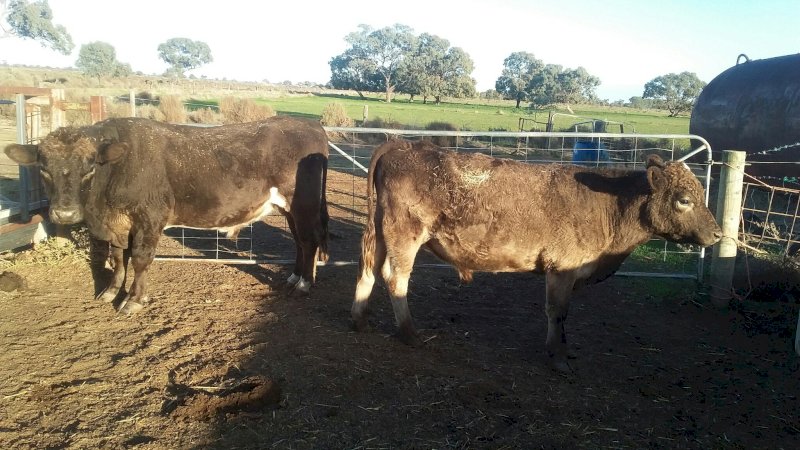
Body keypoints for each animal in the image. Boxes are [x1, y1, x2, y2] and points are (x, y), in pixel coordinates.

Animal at [5, 116, 329, 314]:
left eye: (90, 166)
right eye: (44, 168)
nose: (65, 213)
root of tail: (310, 125)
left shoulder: (150, 217)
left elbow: (140, 259)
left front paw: (134, 299)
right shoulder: (119, 224)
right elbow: (118, 257)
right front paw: (111, 291)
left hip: (302, 205)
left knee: (309, 241)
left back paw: (303, 285)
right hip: (290, 209)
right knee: (300, 242)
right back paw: (293, 278)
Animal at [351, 139, 722, 372]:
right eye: (685, 199)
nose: (718, 234)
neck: (608, 205)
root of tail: (405, 144)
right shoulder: (563, 269)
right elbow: (557, 312)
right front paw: (558, 357)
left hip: (382, 231)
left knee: (368, 270)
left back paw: (360, 319)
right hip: (405, 234)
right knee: (395, 278)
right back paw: (410, 334)